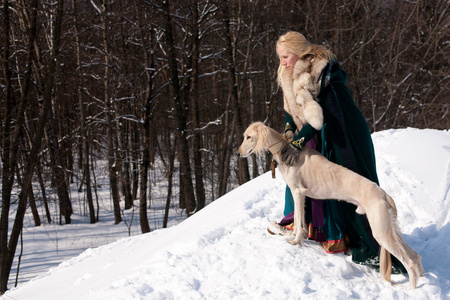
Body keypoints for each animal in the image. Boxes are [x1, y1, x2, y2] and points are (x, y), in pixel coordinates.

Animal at [237, 121, 424, 288]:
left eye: (249, 137)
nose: (238, 154)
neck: (285, 150)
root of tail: (385, 195)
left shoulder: (298, 193)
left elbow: (298, 220)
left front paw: (295, 241)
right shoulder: (302, 196)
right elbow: (298, 221)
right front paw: (295, 237)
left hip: (381, 232)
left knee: (409, 262)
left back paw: (411, 289)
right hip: (389, 231)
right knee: (415, 256)